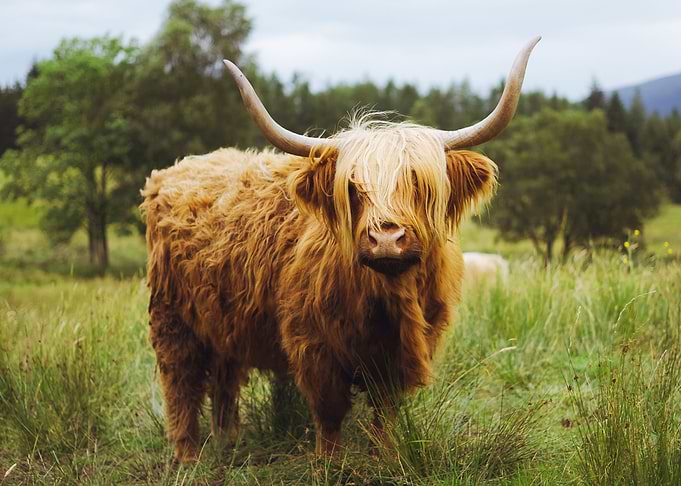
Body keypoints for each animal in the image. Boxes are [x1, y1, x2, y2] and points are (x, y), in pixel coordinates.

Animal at [140, 37, 540, 462]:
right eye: (352, 186)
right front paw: (329, 464)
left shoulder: (401, 355)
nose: (386, 239)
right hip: (172, 317)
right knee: (180, 382)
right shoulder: (314, 347)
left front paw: (386, 456)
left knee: (225, 379)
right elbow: (329, 412)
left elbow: (385, 412)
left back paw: (227, 442)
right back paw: (188, 456)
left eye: (418, 182)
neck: (386, 301)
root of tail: (176, 169)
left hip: (223, 320)